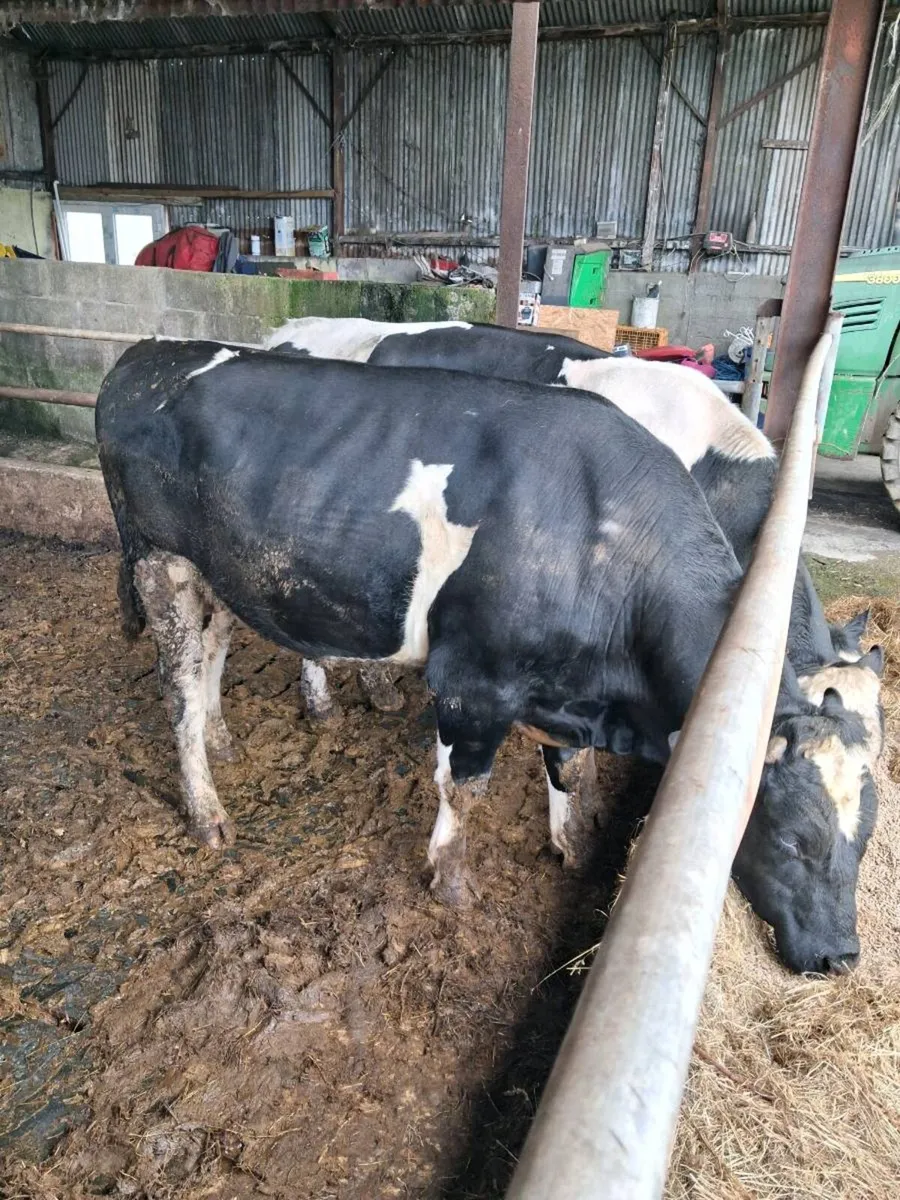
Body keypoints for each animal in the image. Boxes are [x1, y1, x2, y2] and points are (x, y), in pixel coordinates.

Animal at [97, 338, 878, 975]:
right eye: (794, 840)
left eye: (866, 838)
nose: (840, 957)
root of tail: (146, 356)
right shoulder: (473, 684)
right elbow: (464, 788)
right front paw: (450, 880)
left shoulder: (569, 689)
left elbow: (572, 772)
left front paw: (572, 845)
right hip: (159, 564)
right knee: (177, 685)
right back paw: (206, 807)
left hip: (230, 571)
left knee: (215, 644)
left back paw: (224, 738)